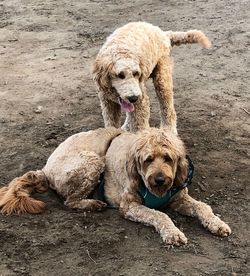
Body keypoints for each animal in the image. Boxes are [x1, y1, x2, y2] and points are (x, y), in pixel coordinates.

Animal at [0, 127, 230, 246]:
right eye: (148, 160)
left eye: (168, 158)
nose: (159, 180)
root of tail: (45, 169)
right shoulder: (129, 206)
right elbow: (160, 215)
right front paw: (172, 233)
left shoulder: (179, 198)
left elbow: (203, 207)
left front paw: (217, 223)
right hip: (92, 161)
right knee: (70, 201)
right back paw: (93, 204)